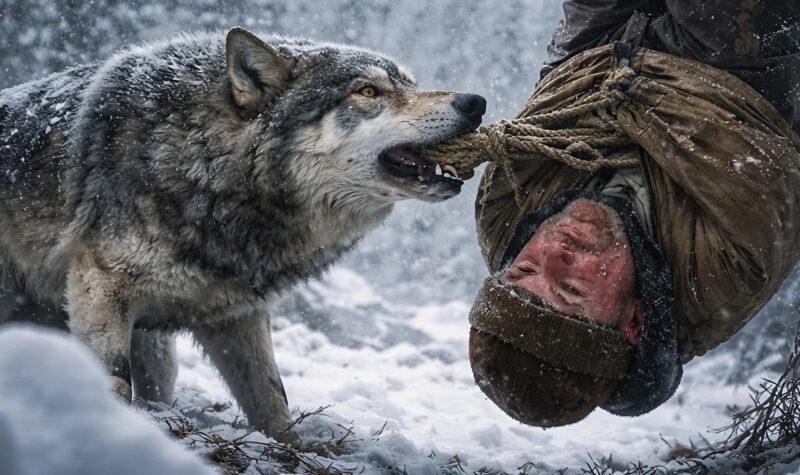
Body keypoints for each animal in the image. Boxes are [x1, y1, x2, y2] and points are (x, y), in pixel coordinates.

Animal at [0, 27, 486, 438]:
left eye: (412, 85)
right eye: (368, 91)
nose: (476, 102)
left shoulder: (238, 316)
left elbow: (272, 399)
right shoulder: (98, 287)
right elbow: (115, 381)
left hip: (156, 348)